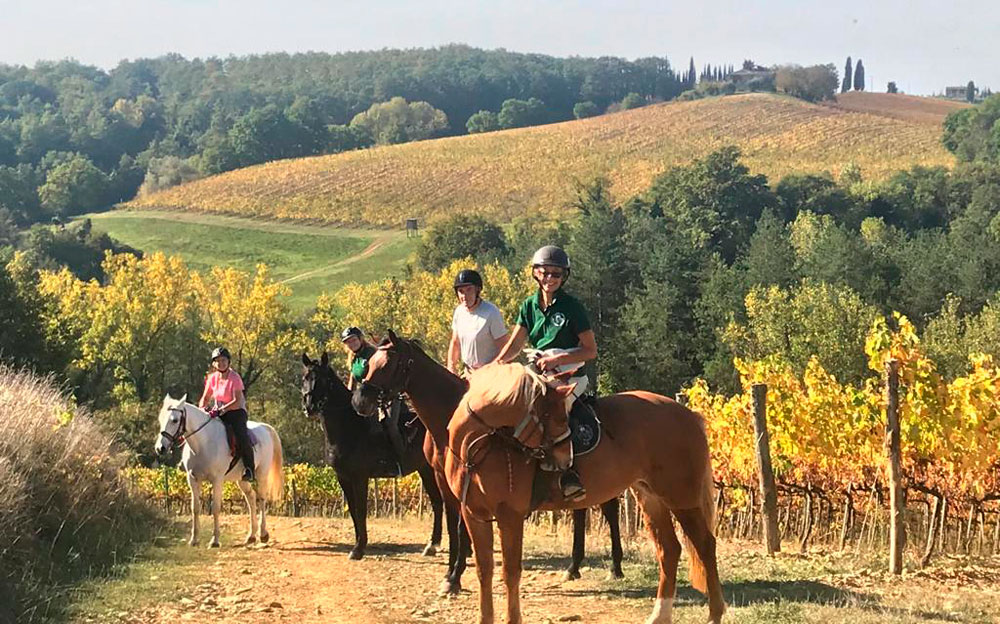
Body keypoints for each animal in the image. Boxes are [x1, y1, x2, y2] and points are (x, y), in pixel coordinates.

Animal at [154, 394, 286, 544]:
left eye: (175, 420)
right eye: (160, 418)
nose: (160, 448)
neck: (203, 442)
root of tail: (265, 427)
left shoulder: (217, 480)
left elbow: (216, 508)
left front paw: (215, 540)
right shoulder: (192, 479)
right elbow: (195, 508)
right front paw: (194, 539)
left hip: (262, 474)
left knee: (262, 499)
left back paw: (263, 534)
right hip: (241, 479)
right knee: (251, 497)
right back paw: (251, 535)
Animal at [298, 354, 444, 564]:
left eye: (323, 379)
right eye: (305, 378)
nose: (309, 407)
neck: (349, 425)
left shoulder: (360, 477)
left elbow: (360, 510)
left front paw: (359, 549)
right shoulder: (343, 477)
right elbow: (352, 511)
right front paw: (357, 545)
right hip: (425, 470)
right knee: (438, 503)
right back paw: (432, 546)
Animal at [450, 366, 724, 624]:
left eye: (563, 418)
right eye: (553, 417)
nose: (565, 459)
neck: (479, 448)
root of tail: (688, 415)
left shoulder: (510, 515)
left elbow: (510, 571)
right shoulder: (474, 515)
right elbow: (484, 570)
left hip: (681, 498)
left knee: (705, 545)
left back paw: (714, 614)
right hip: (650, 498)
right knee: (669, 549)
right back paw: (659, 616)